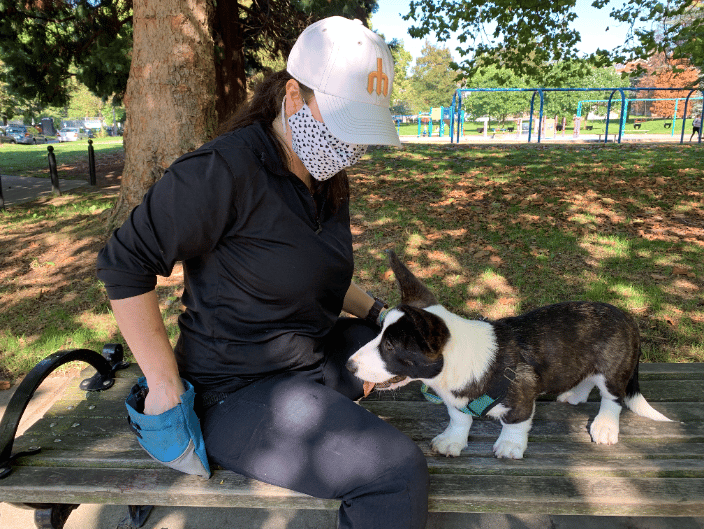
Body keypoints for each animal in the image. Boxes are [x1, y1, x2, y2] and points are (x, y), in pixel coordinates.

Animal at [346, 250, 672, 456]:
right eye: (379, 333)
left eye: (390, 346)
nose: (348, 366)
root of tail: (628, 316)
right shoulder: (457, 402)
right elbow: (459, 418)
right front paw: (452, 441)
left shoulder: (522, 399)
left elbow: (515, 424)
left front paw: (510, 447)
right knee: (587, 379)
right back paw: (574, 395)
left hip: (612, 370)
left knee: (611, 397)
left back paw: (605, 427)